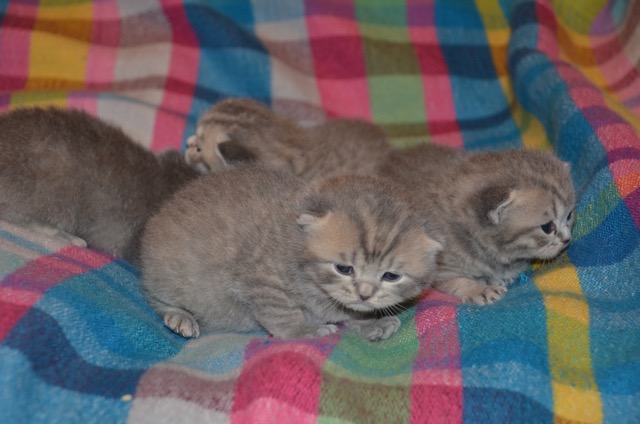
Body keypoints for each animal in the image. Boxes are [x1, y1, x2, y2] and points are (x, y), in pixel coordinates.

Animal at [140, 164, 442, 340]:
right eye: (344, 269)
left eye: (390, 276)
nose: (365, 294)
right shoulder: (260, 280)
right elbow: (283, 313)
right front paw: (305, 331)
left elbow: (345, 312)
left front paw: (367, 323)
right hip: (169, 274)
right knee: (156, 298)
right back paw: (180, 317)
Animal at [379, 144, 576, 304]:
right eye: (547, 227)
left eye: (569, 216)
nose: (567, 240)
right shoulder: (436, 266)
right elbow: (457, 281)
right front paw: (479, 289)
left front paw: (500, 277)